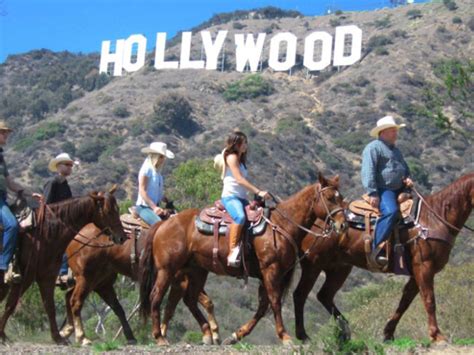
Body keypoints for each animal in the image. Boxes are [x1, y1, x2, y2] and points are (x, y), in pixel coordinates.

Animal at [0, 188, 127, 346]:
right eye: (108, 211)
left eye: (117, 209)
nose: (122, 237)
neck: (44, 233)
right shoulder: (25, 277)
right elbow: (11, 304)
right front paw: (2, 335)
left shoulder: (47, 276)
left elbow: (50, 307)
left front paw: (58, 337)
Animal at [59, 224, 220, 346]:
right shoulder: (180, 281)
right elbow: (185, 304)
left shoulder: (180, 281)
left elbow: (185, 305)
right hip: (87, 279)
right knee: (75, 301)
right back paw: (81, 337)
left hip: (100, 282)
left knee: (105, 304)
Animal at [139, 174, 346, 346]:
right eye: (330, 198)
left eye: (341, 197)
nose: (342, 224)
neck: (281, 225)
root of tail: (164, 223)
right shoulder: (271, 270)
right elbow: (275, 302)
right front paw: (285, 336)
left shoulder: (267, 275)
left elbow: (263, 307)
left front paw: (236, 335)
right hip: (167, 270)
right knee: (156, 297)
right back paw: (159, 337)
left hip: (196, 270)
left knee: (189, 299)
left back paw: (207, 334)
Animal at [292, 172, 474, 344]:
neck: (434, 218)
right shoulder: (424, 267)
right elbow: (429, 300)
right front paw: (437, 335)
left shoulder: (417, 272)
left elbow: (405, 301)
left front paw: (388, 333)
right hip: (313, 265)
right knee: (300, 294)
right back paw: (303, 335)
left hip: (339, 268)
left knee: (324, 295)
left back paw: (345, 331)